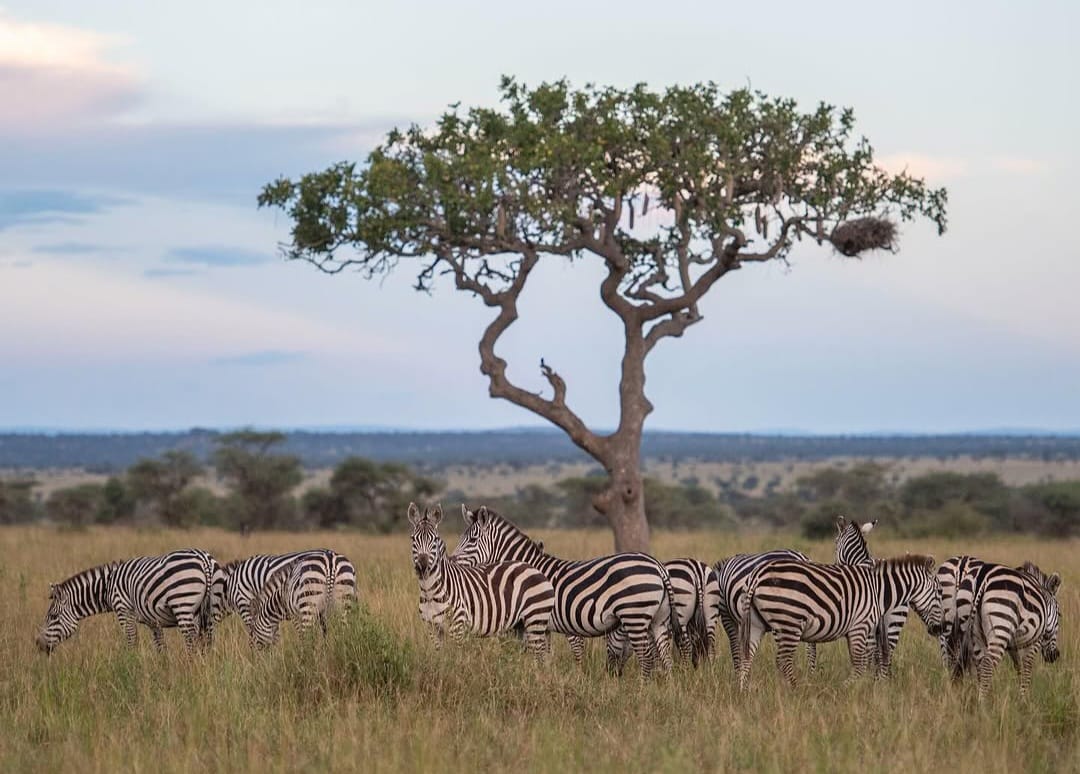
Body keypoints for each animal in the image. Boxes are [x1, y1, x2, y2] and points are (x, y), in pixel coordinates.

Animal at [36, 548, 224, 654]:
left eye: (53, 617)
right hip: (208, 610)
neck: (107, 586)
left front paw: (130, 668)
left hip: (182, 605)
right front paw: (163, 670)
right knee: (207, 639)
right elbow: (161, 647)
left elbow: (131, 641)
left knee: (191, 639)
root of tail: (204, 560)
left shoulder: (124, 610)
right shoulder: (153, 621)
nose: (39, 645)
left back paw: (190, 668)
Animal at [409, 502, 555, 660]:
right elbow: (440, 658)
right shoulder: (432, 628)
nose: (423, 567)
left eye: (435, 540)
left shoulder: (458, 626)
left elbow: (456, 658)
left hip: (535, 620)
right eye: (413, 539)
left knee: (539, 656)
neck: (430, 591)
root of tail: (535, 569)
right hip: (521, 625)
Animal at [450, 505, 688, 678]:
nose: (451, 561)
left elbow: (551, 654)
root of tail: (657, 566)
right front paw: (544, 679)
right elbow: (544, 657)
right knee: (666, 658)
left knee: (647, 657)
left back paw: (642, 690)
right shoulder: (543, 625)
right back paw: (665, 692)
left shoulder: (542, 621)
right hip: (659, 619)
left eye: (472, 540)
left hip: (635, 616)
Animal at [736, 555, 943, 690]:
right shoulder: (860, 626)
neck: (879, 590)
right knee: (783, 661)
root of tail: (757, 574)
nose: (938, 629)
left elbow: (864, 661)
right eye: (939, 593)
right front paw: (845, 689)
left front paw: (863, 688)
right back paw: (797, 690)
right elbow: (860, 664)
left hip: (756, 624)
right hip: (790, 622)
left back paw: (743, 692)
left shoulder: (861, 630)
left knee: (747, 658)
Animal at [958, 560, 1061, 697]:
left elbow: (1019, 668)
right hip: (1000, 626)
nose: (1055, 655)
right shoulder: (1035, 641)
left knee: (979, 665)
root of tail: (982, 576)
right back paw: (983, 702)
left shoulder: (1014, 644)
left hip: (973, 633)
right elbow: (1027, 669)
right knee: (987, 665)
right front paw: (1024, 698)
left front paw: (1020, 696)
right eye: (1059, 615)